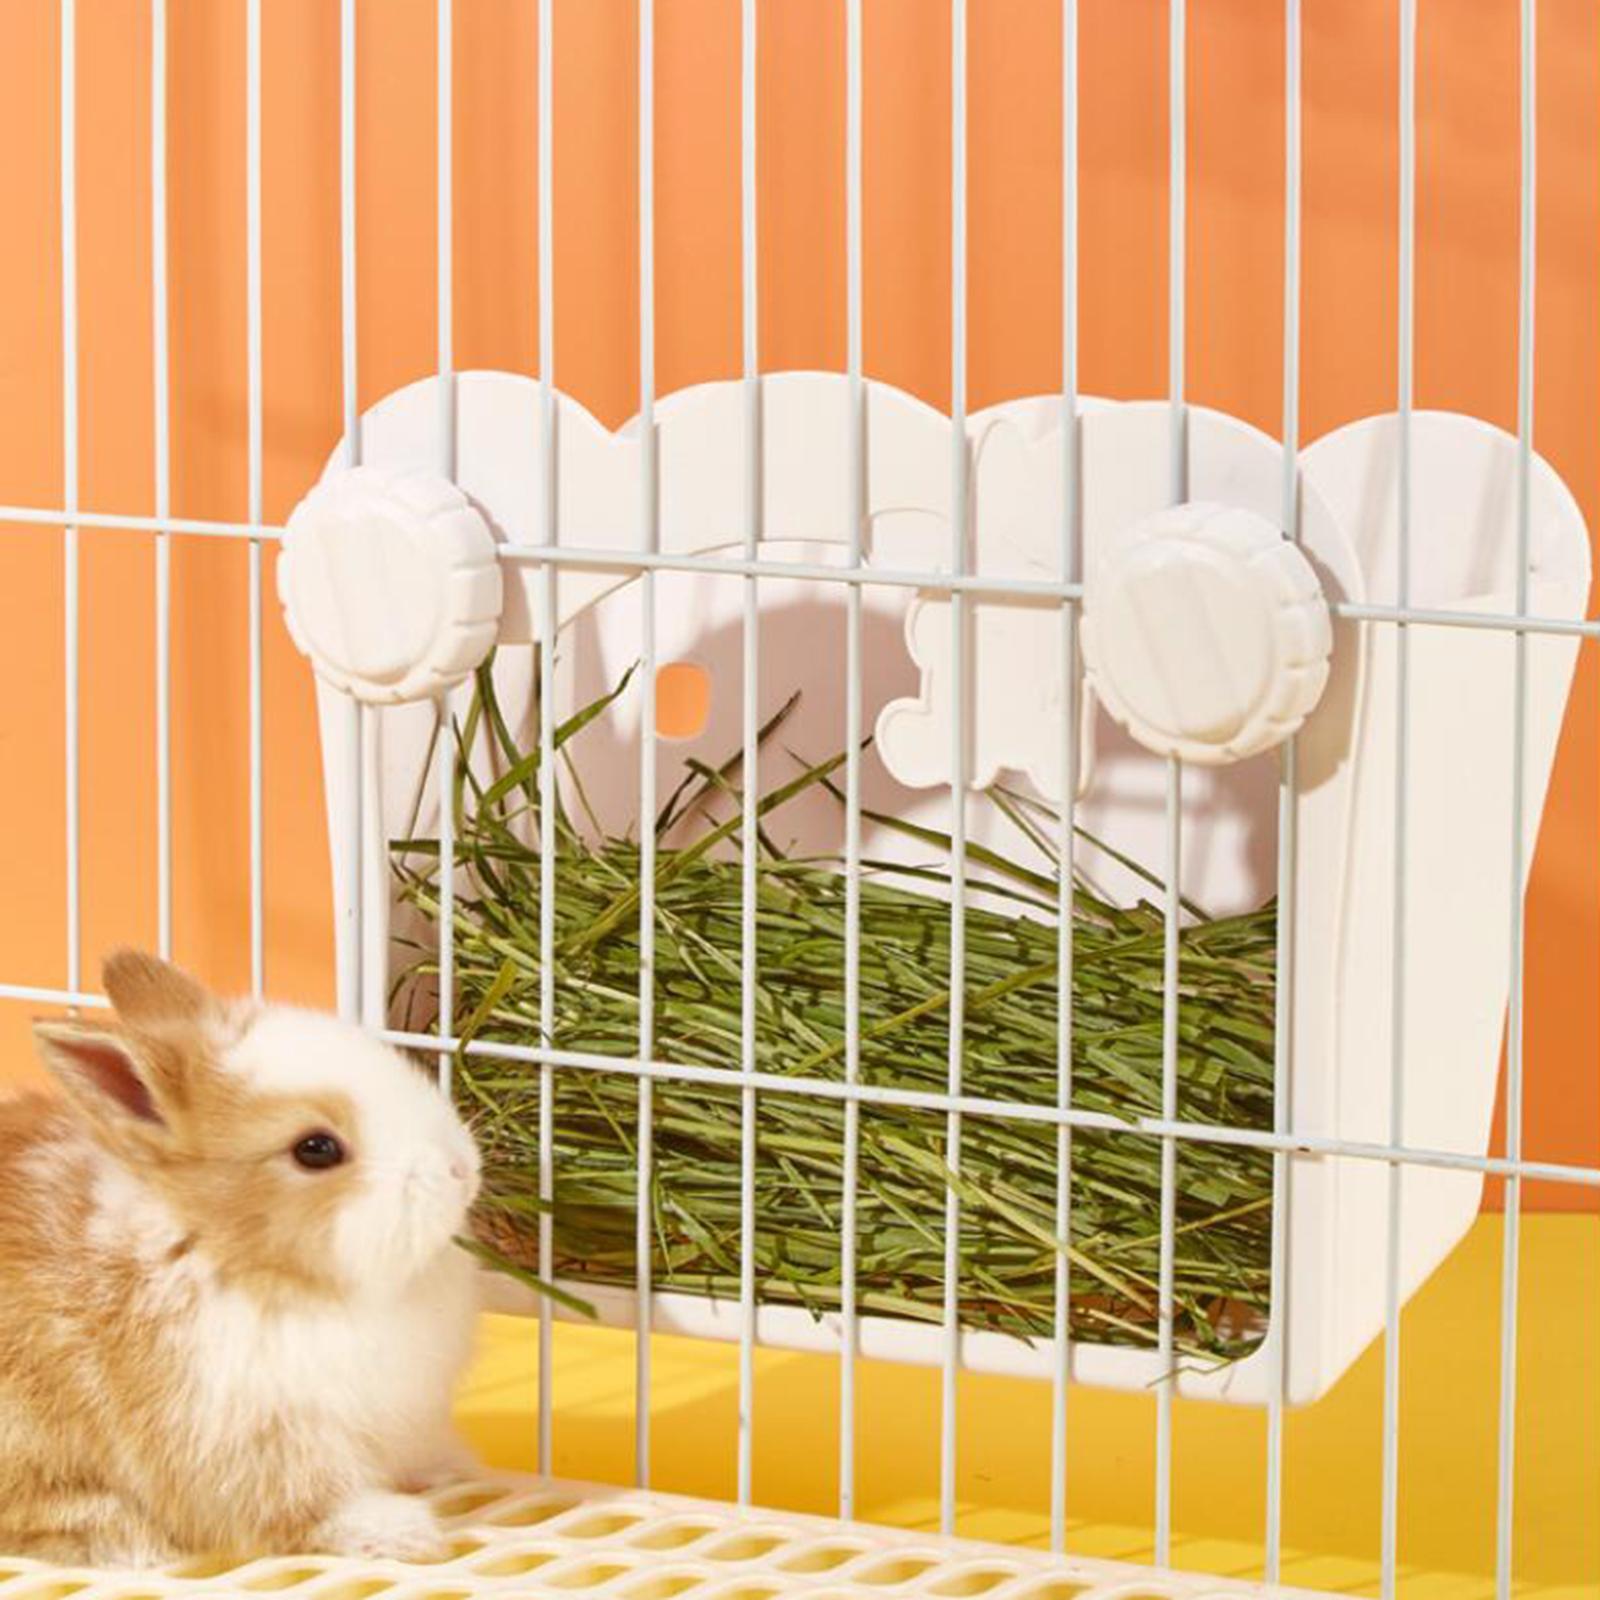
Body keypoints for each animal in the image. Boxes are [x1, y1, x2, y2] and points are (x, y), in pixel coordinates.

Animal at [0, 950, 484, 1568]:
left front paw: (453, 1470)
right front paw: (402, 1532)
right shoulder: (246, 1439)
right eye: (316, 1149)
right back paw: (124, 1539)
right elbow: (302, 1508)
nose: (461, 1169)